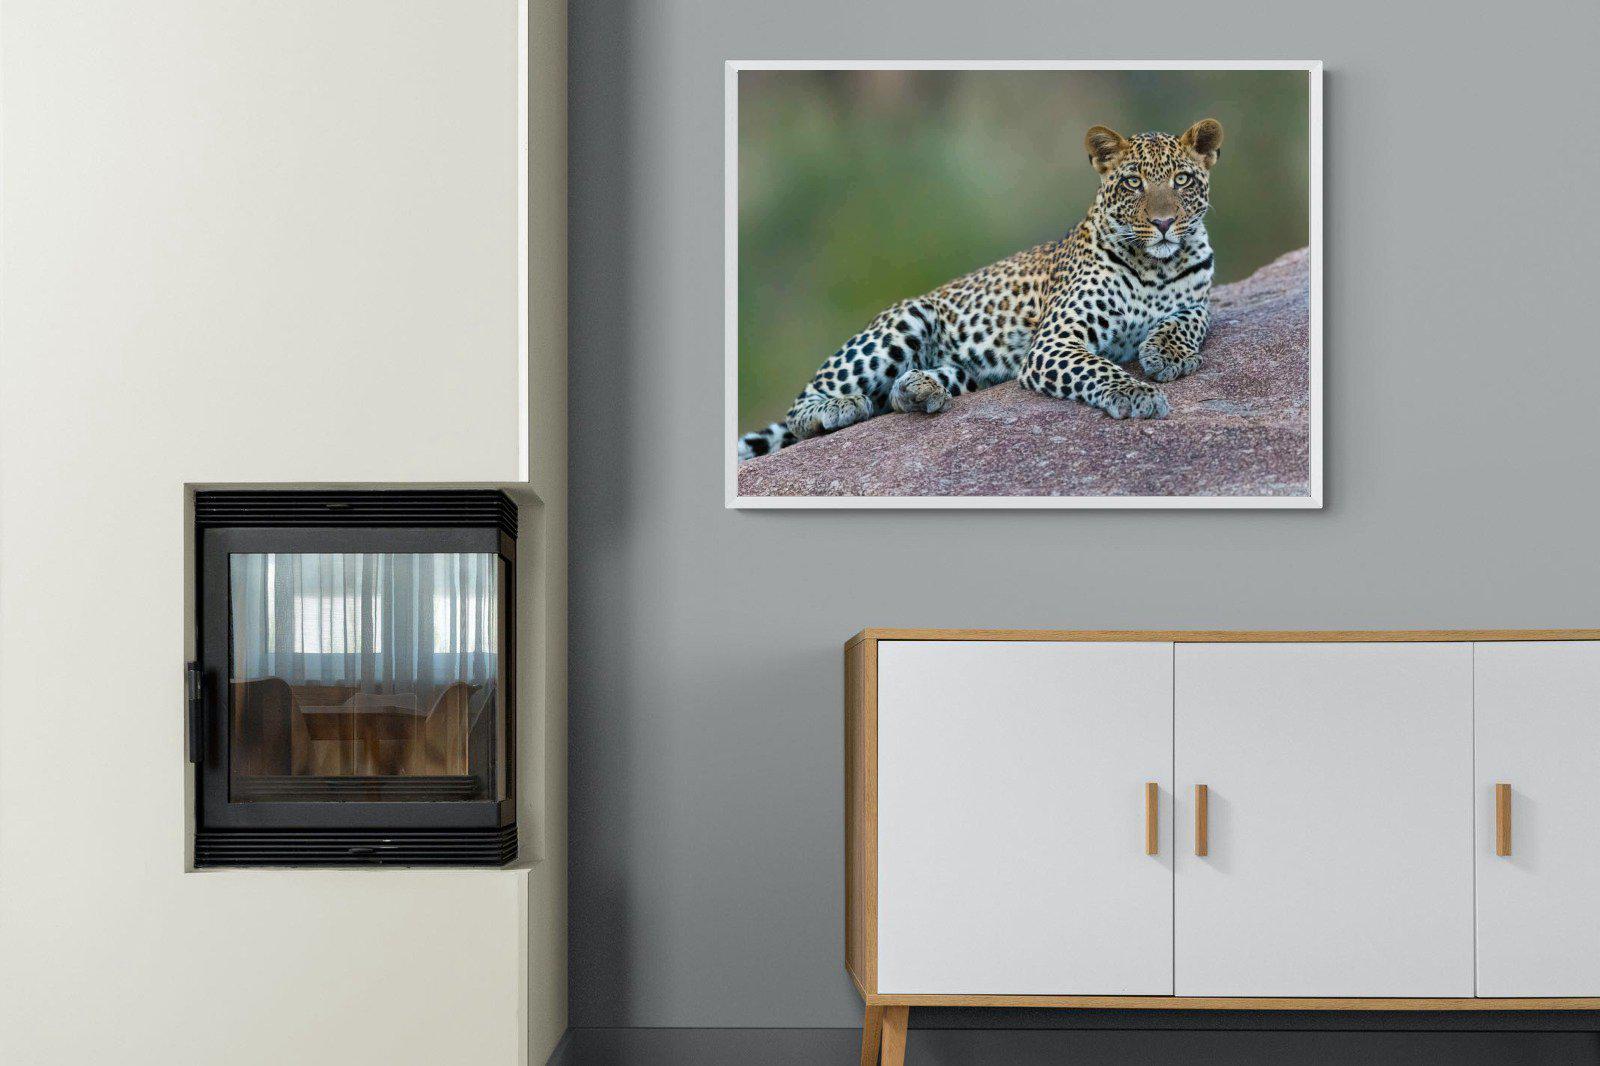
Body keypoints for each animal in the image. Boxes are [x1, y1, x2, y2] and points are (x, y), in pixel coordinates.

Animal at [736, 118, 1224, 461]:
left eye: (1181, 180)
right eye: (1132, 182)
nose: (1163, 223)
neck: (1157, 265)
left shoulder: (1199, 300)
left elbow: (1188, 320)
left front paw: (1168, 354)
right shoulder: (1054, 343)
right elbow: (1100, 368)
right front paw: (1137, 393)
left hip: (971, 370)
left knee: (898, 393)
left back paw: (919, 389)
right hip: (905, 320)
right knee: (802, 407)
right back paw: (838, 408)